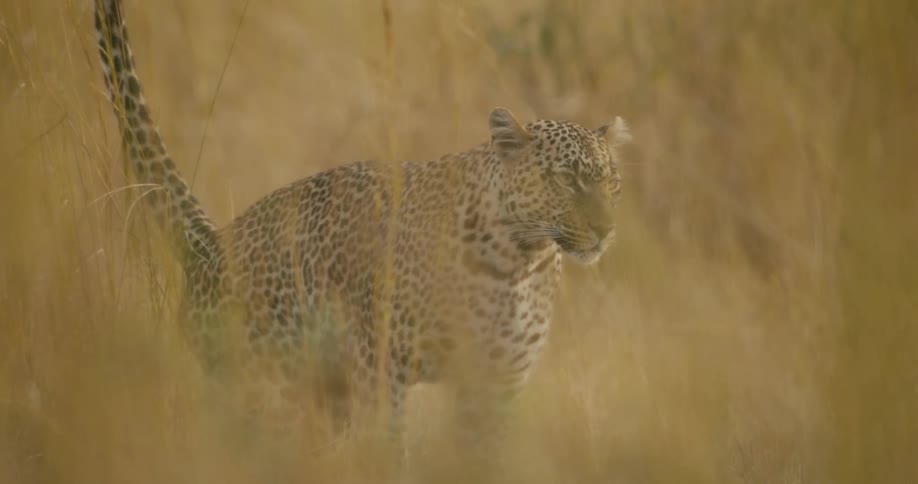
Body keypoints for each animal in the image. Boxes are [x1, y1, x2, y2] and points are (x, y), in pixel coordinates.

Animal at [94, 0, 630, 451]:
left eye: (611, 181)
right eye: (565, 179)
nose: (605, 230)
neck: (517, 260)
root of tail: (212, 243)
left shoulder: (497, 382)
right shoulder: (382, 370)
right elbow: (390, 452)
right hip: (266, 387)